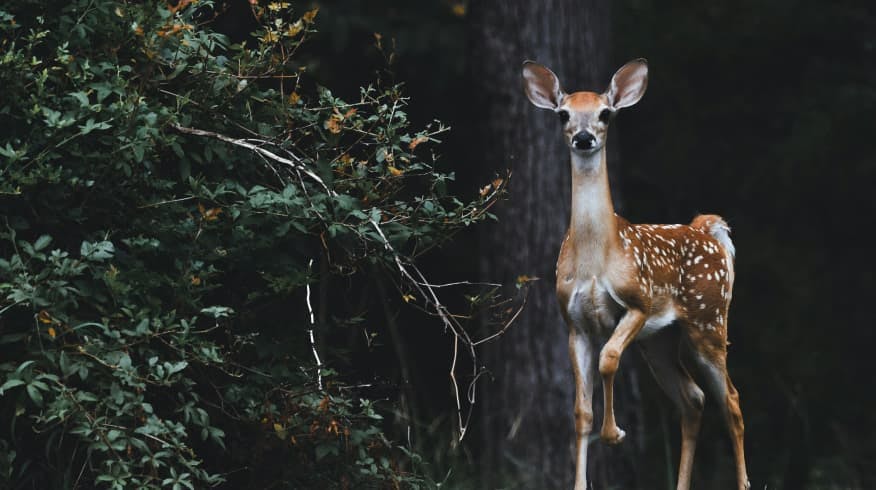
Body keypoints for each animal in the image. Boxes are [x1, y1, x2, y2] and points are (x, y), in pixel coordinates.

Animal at [521, 59, 750, 490]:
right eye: (563, 114)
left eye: (605, 114)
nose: (583, 138)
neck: (596, 257)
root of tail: (707, 229)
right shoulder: (574, 323)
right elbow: (580, 411)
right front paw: (581, 480)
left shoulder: (638, 302)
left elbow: (609, 359)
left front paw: (615, 434)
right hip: (660, 340)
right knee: (693, 398)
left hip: (708, 319)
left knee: (730, 398)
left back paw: (744, 482)